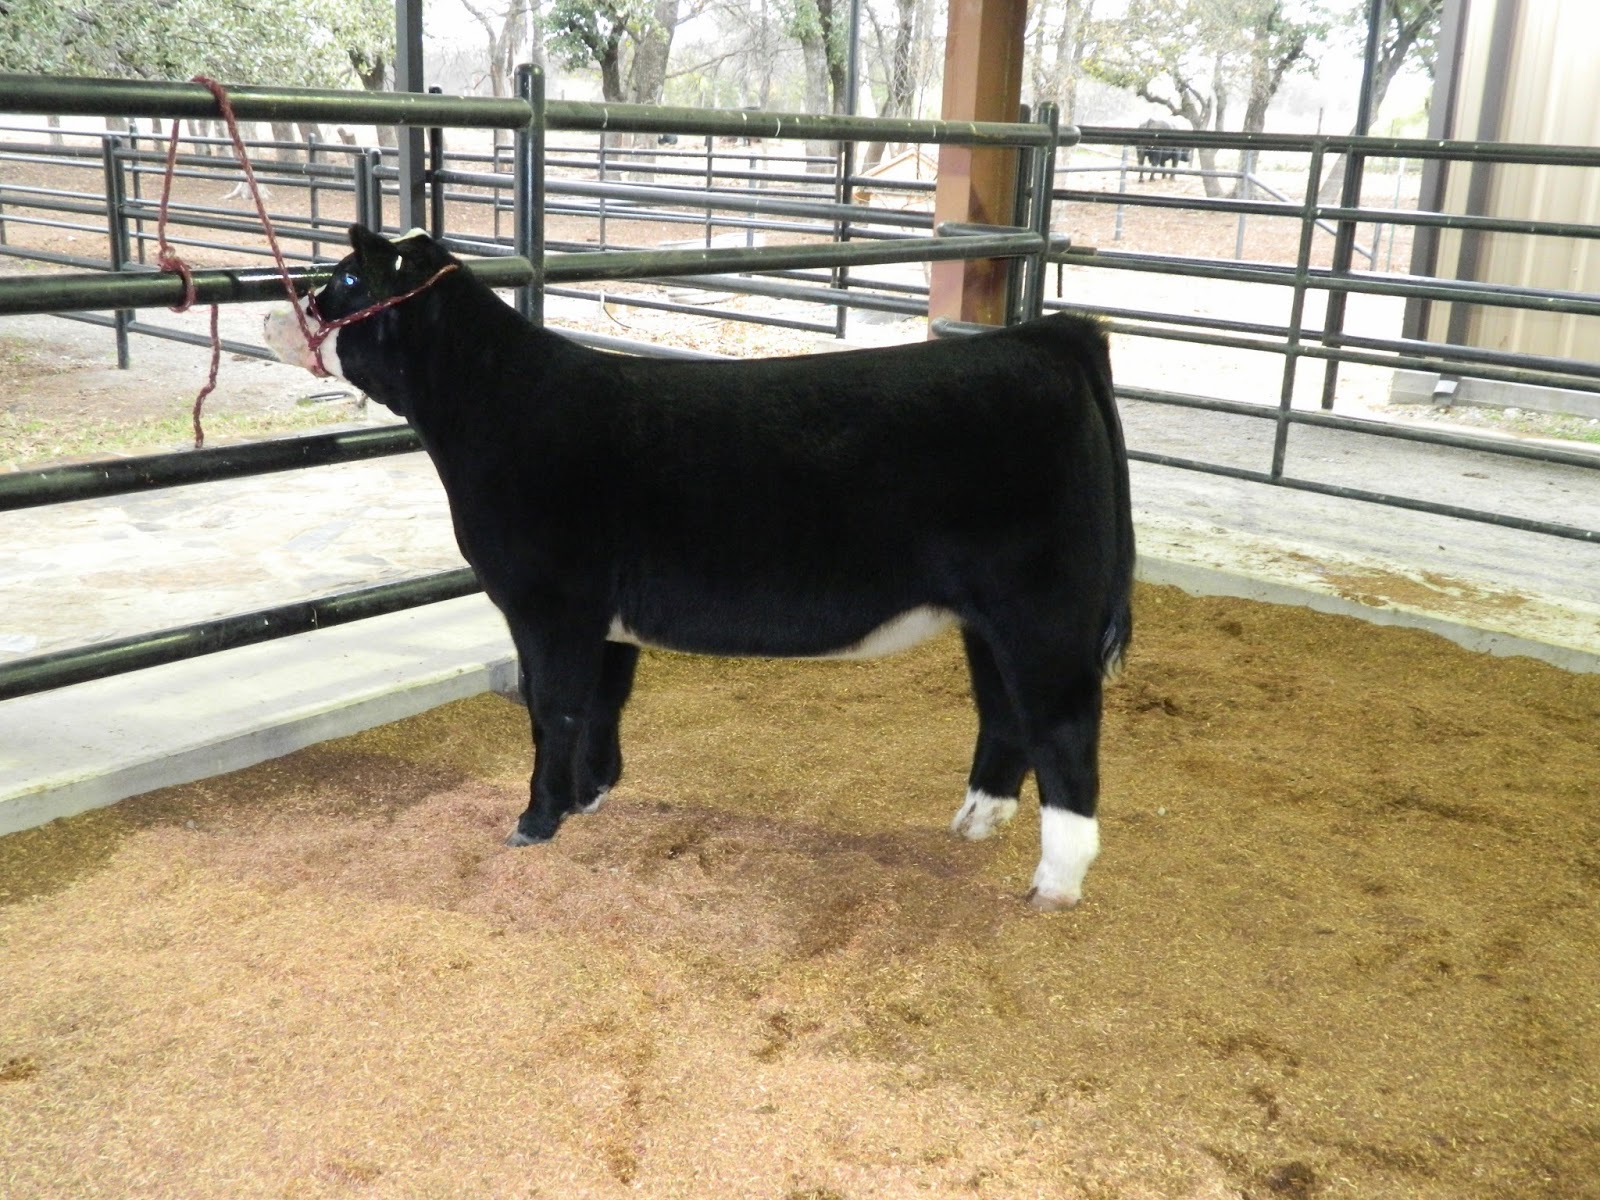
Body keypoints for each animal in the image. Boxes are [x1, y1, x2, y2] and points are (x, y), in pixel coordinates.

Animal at [265, 226, 1135, 909]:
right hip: (986, 617)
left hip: (1042, 608)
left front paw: (535, 821)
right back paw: (978, 820)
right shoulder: (601, 616)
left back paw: (1056, 881)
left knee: (1062, 725)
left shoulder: (549, 603)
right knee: (1003, 714)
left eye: (347, 279)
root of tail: (1046, 338)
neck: (496, 407)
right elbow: (602, 701)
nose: (278, 307)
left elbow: (553, 708)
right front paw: (590, 797)